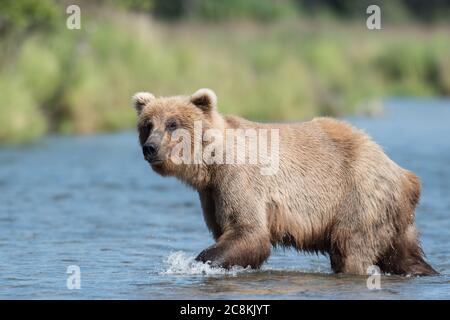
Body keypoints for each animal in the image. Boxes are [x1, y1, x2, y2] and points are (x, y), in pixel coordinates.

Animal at [132, 89, 438, 276]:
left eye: (172, 124)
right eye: (147, 124)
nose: (150, 147)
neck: (211, 163)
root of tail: (405, 176)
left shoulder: (238, 178)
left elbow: (248, 231)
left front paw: (193, 263)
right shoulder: (210, 193)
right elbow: (232, 234)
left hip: (359, 197)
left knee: (350, 249)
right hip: (392, 216)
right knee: (404, 255)